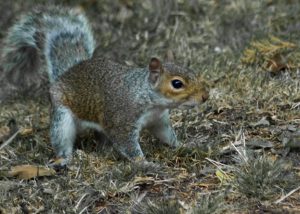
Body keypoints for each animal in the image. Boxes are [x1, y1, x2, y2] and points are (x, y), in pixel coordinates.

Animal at [1, 6, 210, 164]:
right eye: (177, 83)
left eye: (191, 70)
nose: (205, 96)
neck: (147, 97)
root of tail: (65, 73)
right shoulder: (122, 120)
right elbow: (127, 145)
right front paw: (145, 163)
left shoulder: (158, 120)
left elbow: (166, 135)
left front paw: (184, 145)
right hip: (61, 116)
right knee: (61, 138)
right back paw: (65, 159)